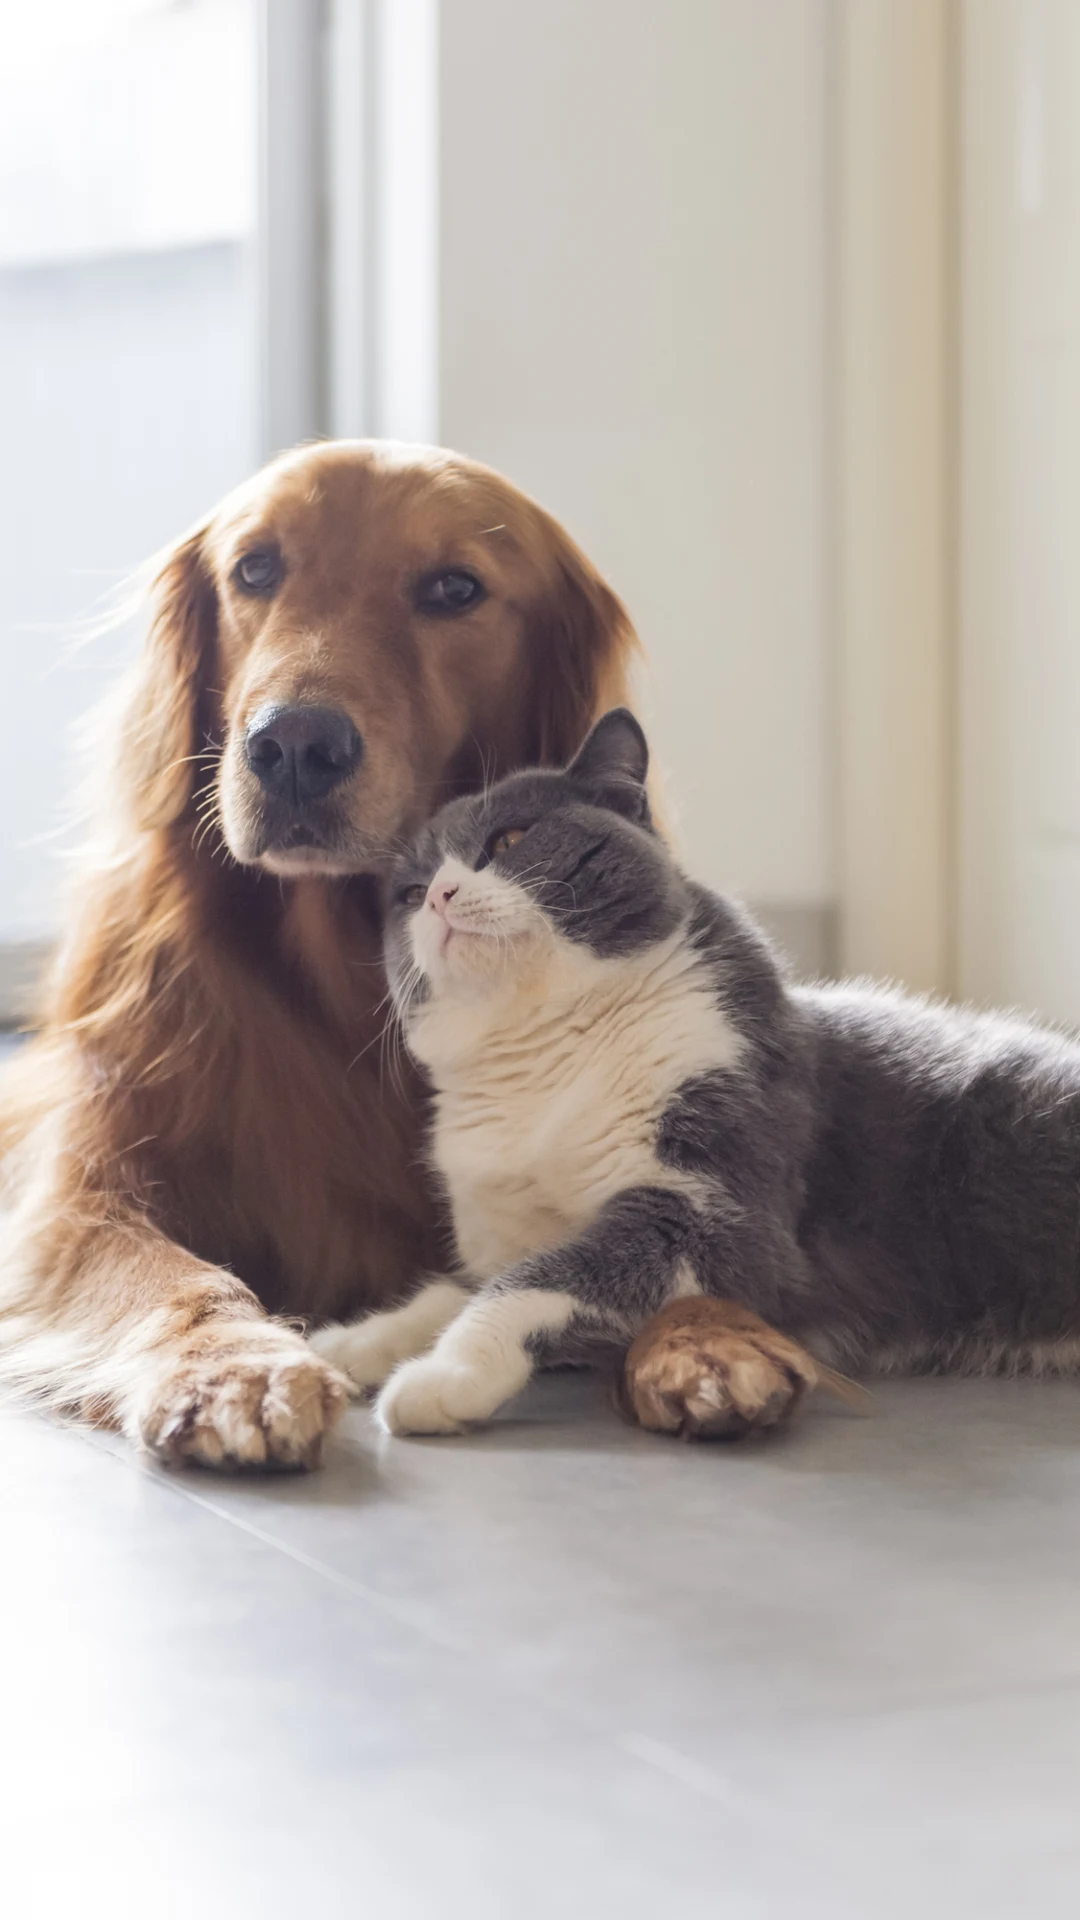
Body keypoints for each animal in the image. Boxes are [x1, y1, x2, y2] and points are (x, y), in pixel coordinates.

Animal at [0, 439, 645, 1466]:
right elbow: (176, 1277)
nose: (295, 746)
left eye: (454, 587)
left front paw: (720, 1348)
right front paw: (237, 1365)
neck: (345, 971)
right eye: (256, 569)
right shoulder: (82, 1194)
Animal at [309, 714, 1080, 1436]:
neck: (546, 1062)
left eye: (508, 840)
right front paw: (353, 1341)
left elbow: (531, 1281)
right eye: (408, 894)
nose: (439, 895)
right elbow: (460, 1285)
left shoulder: (719, 1214)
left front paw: (444, 1374)